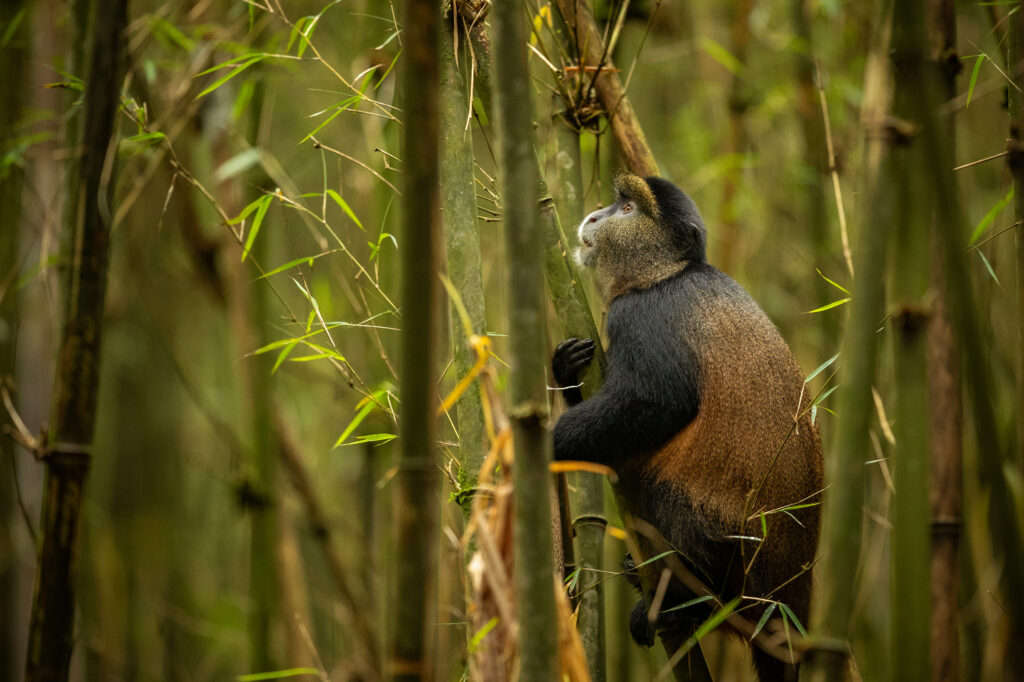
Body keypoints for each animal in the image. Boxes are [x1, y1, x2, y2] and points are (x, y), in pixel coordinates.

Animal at [551, 174, 823, 682]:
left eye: (628, 208)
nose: (595, 216)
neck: (668, 273)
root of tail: (787, 614)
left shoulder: (642, 316)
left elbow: (656, 403)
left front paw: (544, 439)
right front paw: (565, 369)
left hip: (738, 553)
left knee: (673, 500)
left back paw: (683, 605)